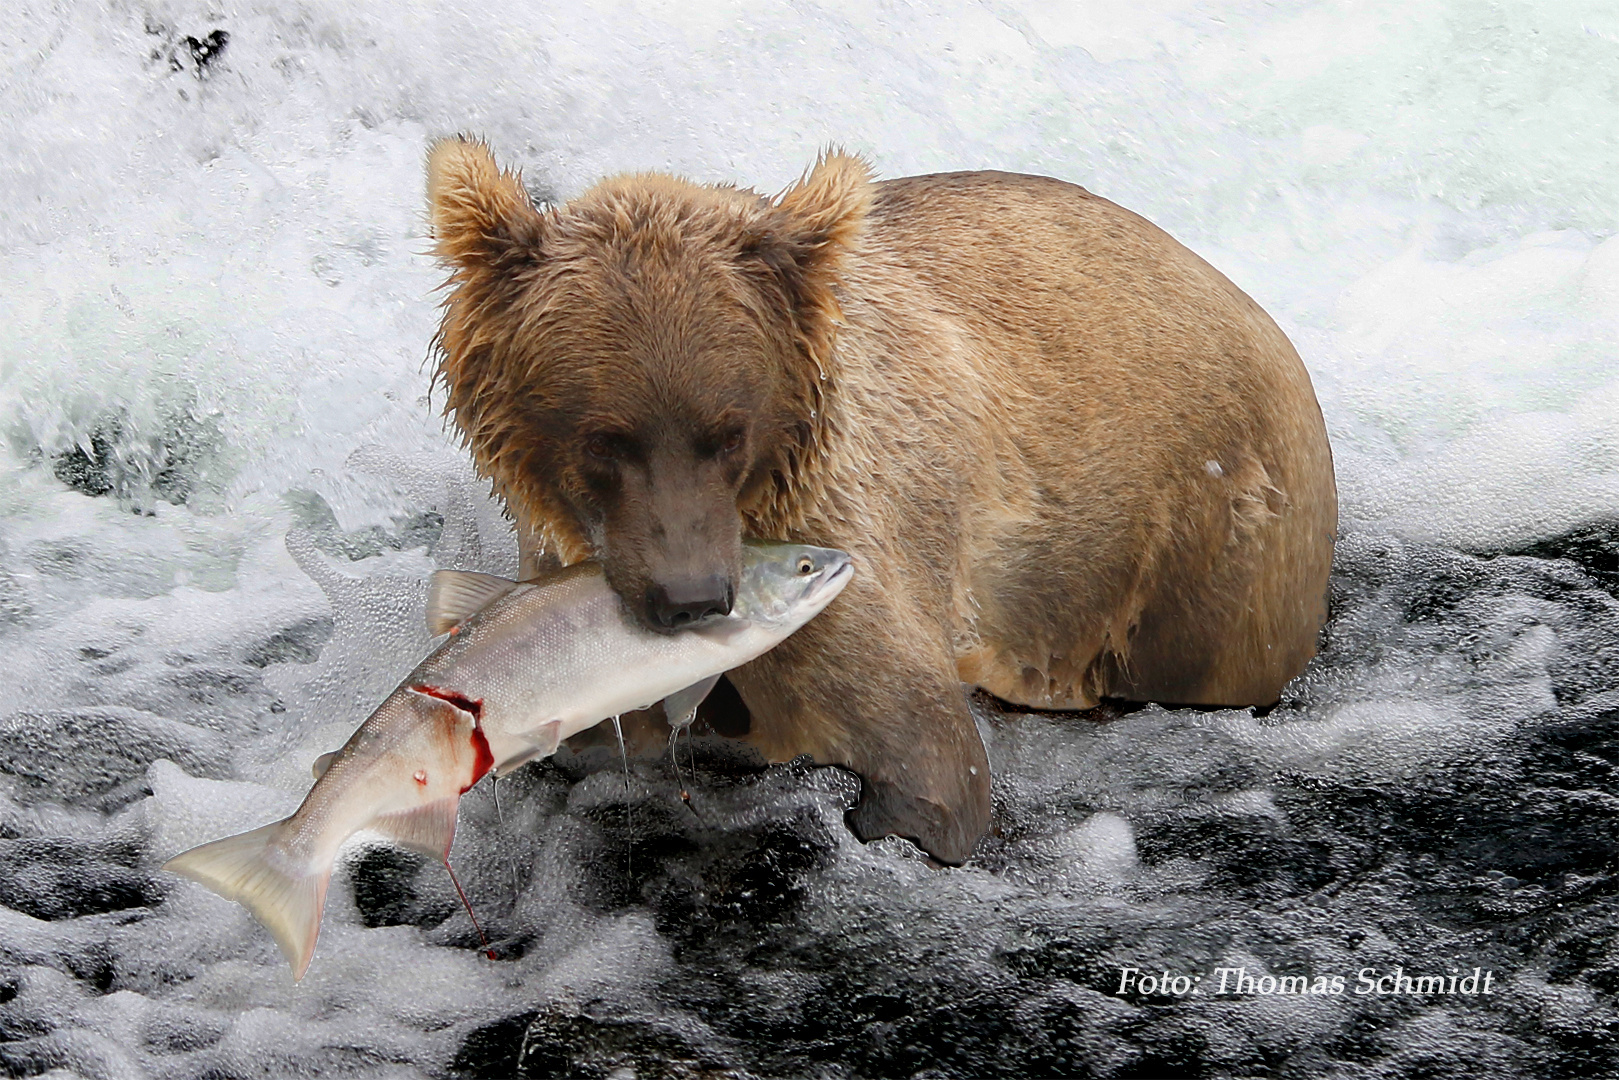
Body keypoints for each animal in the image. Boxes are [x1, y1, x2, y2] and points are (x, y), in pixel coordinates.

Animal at [424, 139, 1334, 867]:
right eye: (604, 440)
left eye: (728, 431)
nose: (692, 597)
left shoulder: (852, 551)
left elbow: (927, 764)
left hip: (1207, 538)